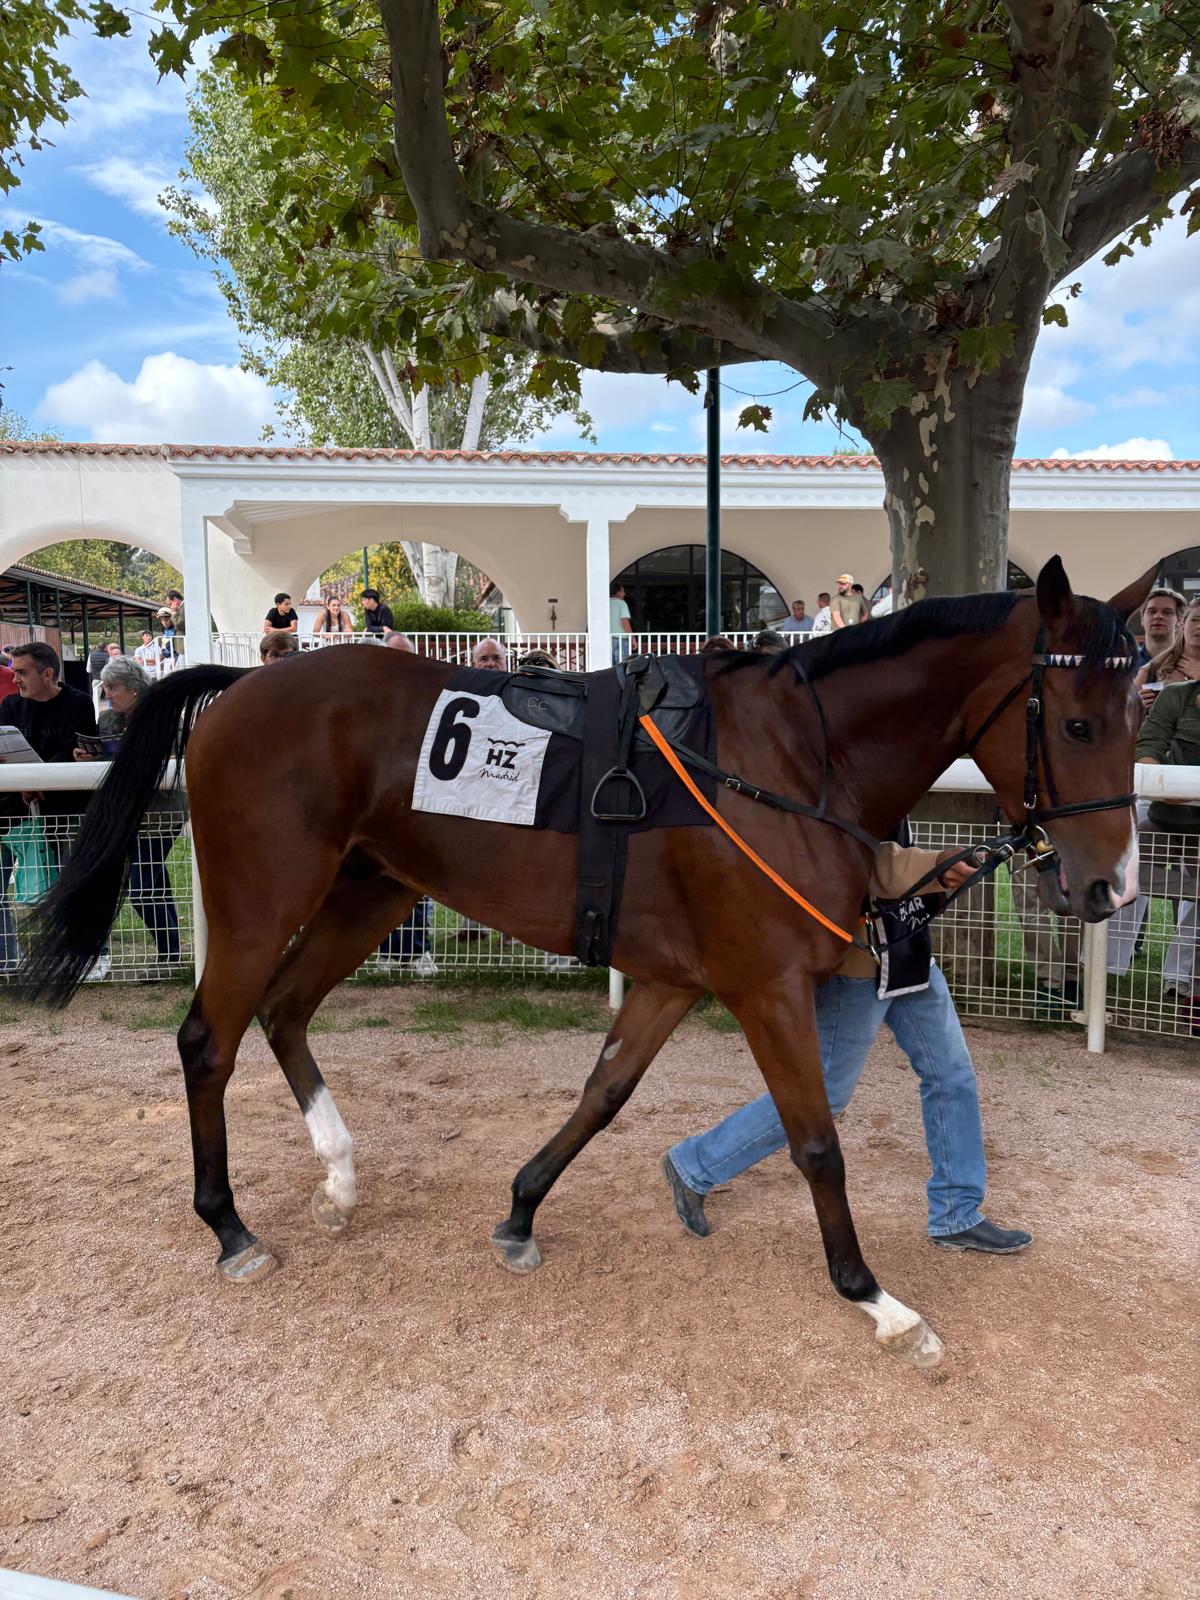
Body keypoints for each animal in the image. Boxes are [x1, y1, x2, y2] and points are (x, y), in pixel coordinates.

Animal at [20, 557, 1149, 1369]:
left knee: (287, 1009)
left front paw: (521, 1211)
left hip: (374, 889)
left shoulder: (673, 978)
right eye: (1076, 721)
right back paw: (230, 1228)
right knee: (208, 1038)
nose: (1109, 889)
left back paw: (339, 1175)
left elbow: (603, 1094)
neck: (785, 759)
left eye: (1139, 713)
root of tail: (240, 687)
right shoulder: (764, 985)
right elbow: (815, 1140)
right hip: (263, 898)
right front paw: (875, 1298)